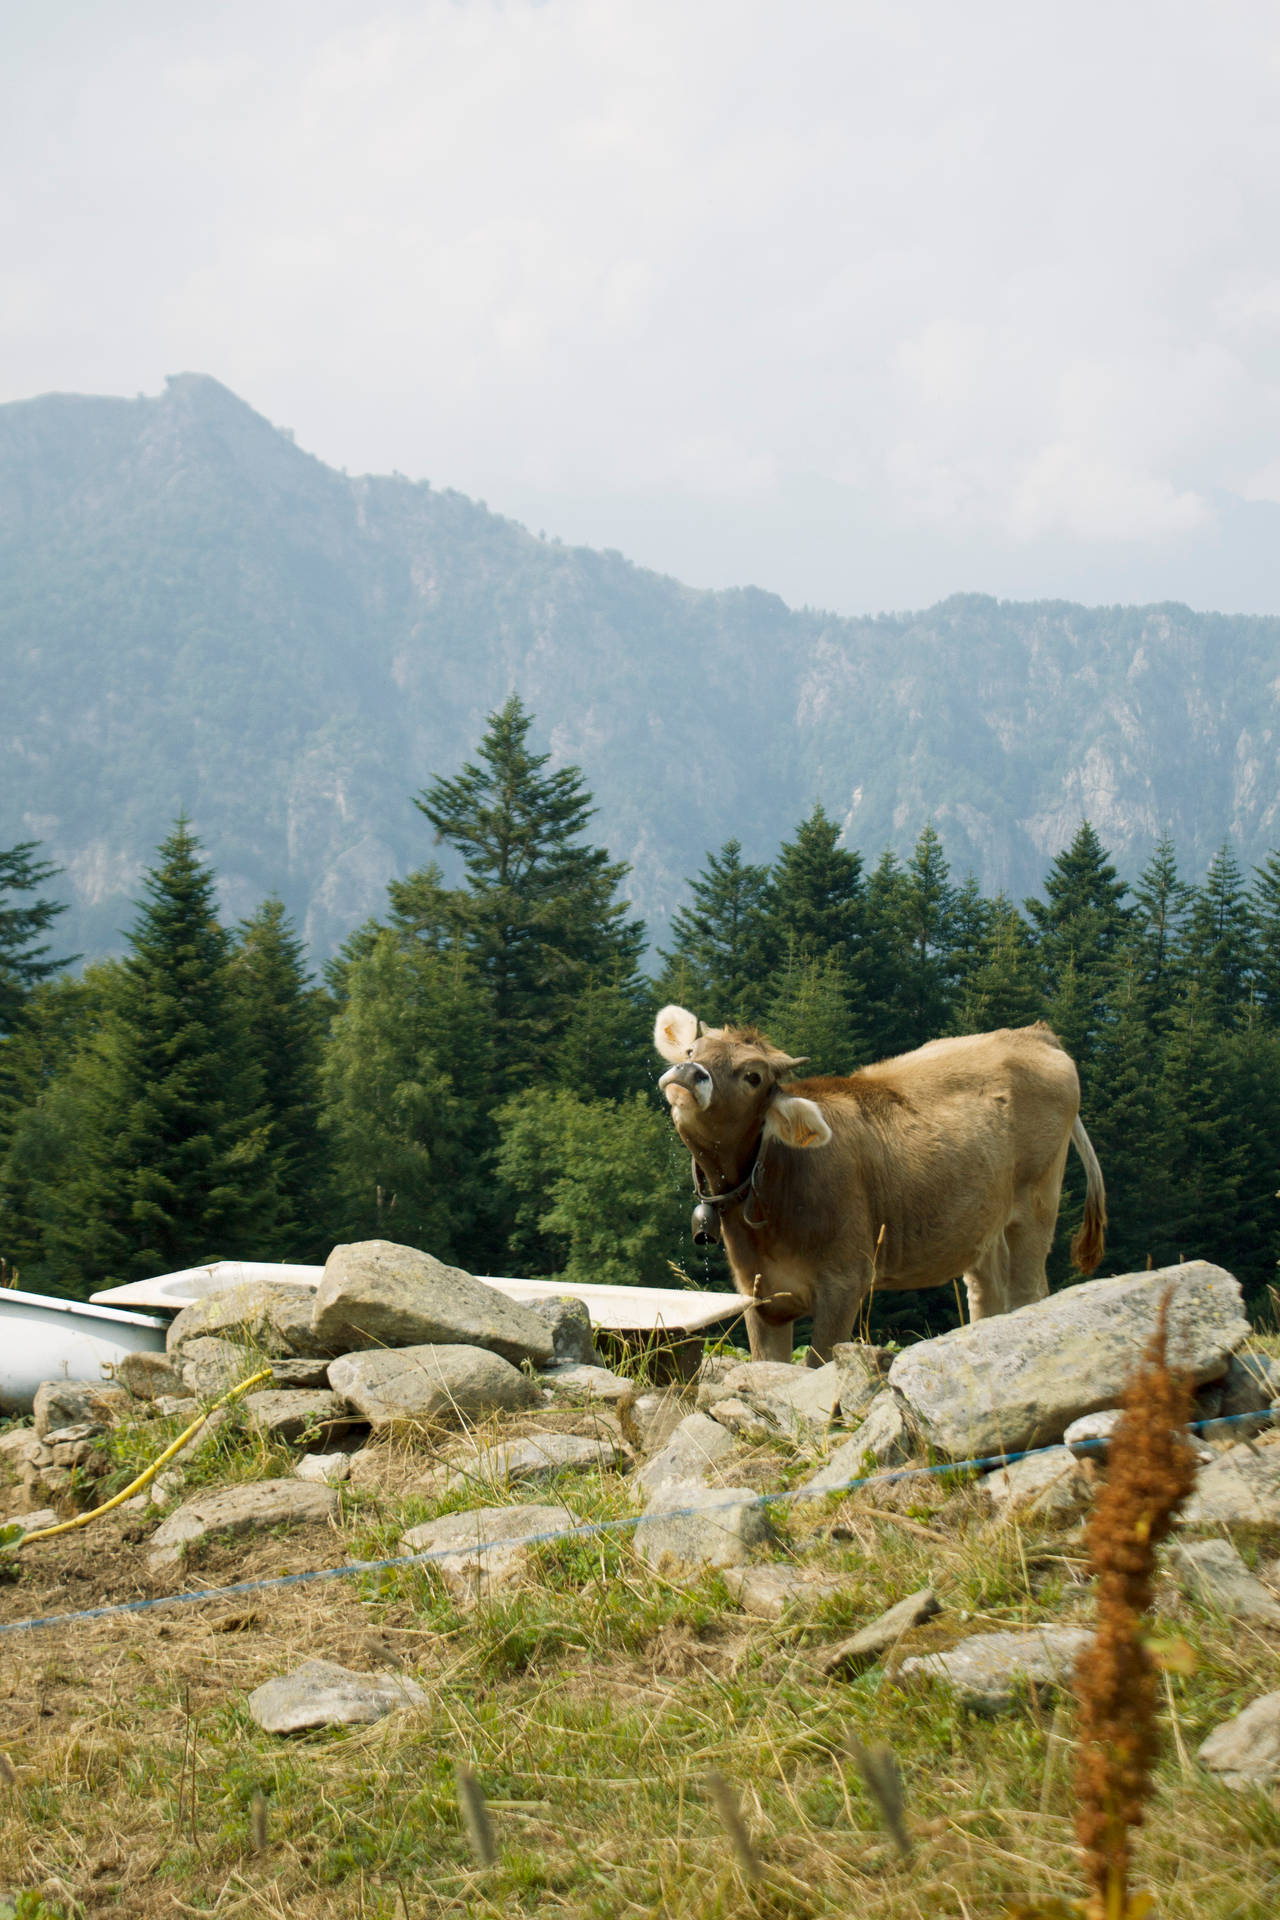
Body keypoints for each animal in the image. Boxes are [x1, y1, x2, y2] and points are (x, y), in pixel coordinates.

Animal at [656, 1006, 1105, 1367]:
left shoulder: (844, 1280)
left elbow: (818, 1365)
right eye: (693, 1051)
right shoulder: (758, 1293)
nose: (688, 1073)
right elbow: (768, 1366)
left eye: (753, 1075)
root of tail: (1032, 1033)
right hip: (982, 1221)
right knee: (987, 1293)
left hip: (1036, 1203)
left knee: (1028, 1290)